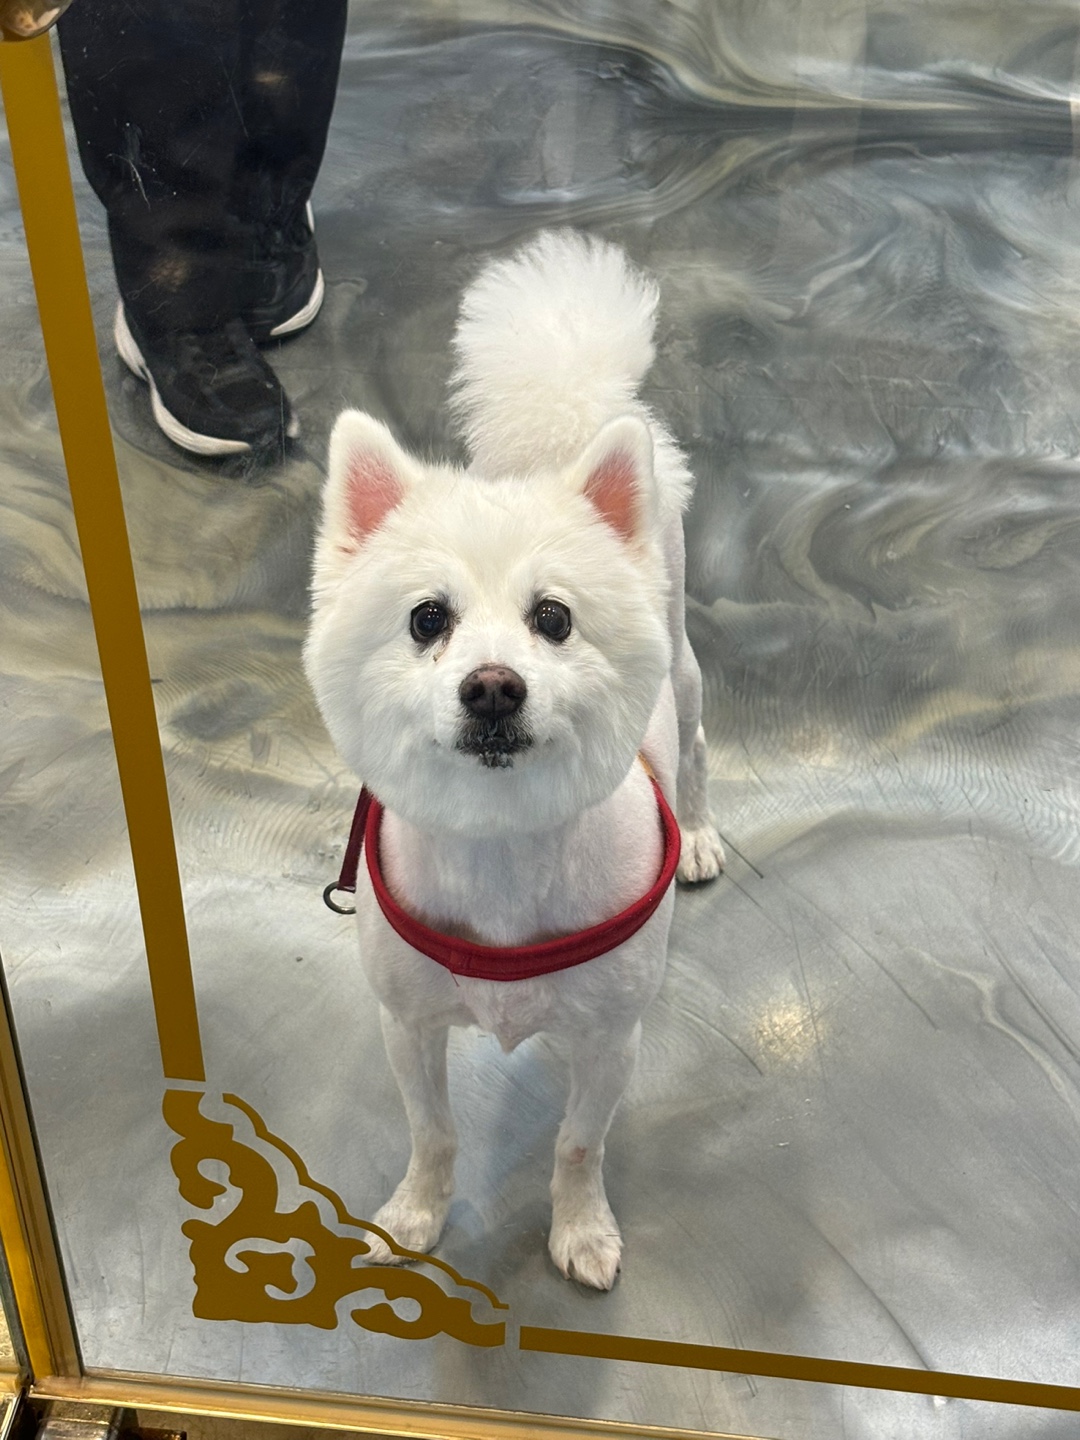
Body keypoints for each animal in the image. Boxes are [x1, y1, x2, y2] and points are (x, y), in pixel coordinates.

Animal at [304, 230, 724, 1290]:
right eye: (427, 619)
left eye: (555, 619)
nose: (493, 687)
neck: (501, 850)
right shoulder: (408, 1028)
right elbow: (433, 1133)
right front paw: (417, 1214)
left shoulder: (610, 1041)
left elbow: (578, 1144)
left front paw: (580, 1229)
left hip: (684, 668)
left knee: (698, 744)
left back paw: (700, 832)